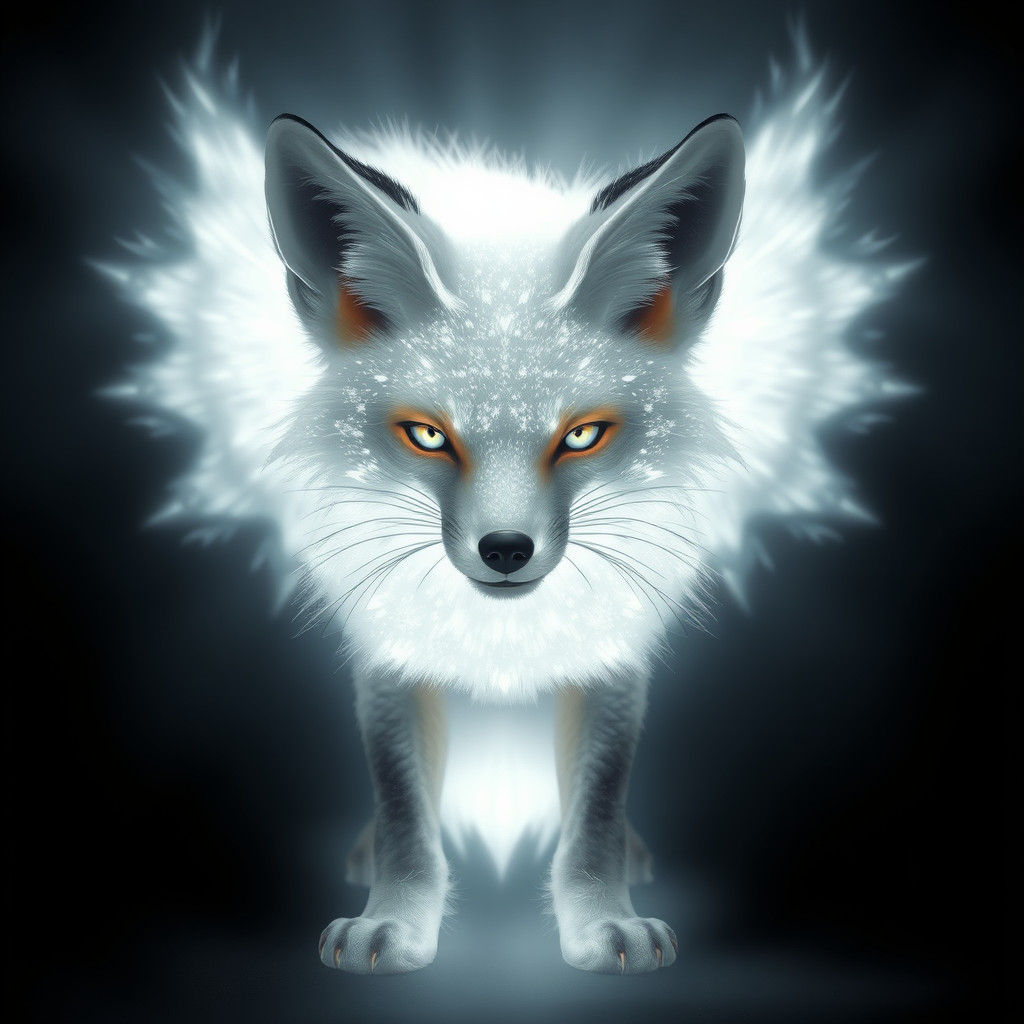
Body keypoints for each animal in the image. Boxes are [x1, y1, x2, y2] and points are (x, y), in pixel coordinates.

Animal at [104, 43, 909, 979]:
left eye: (583, 435)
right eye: (427, 434)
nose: (506, 551)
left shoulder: (610, 653)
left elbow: (594, 814)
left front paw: (603, 920)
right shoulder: (390, 653)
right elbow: (406, 813)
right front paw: (395, 919)